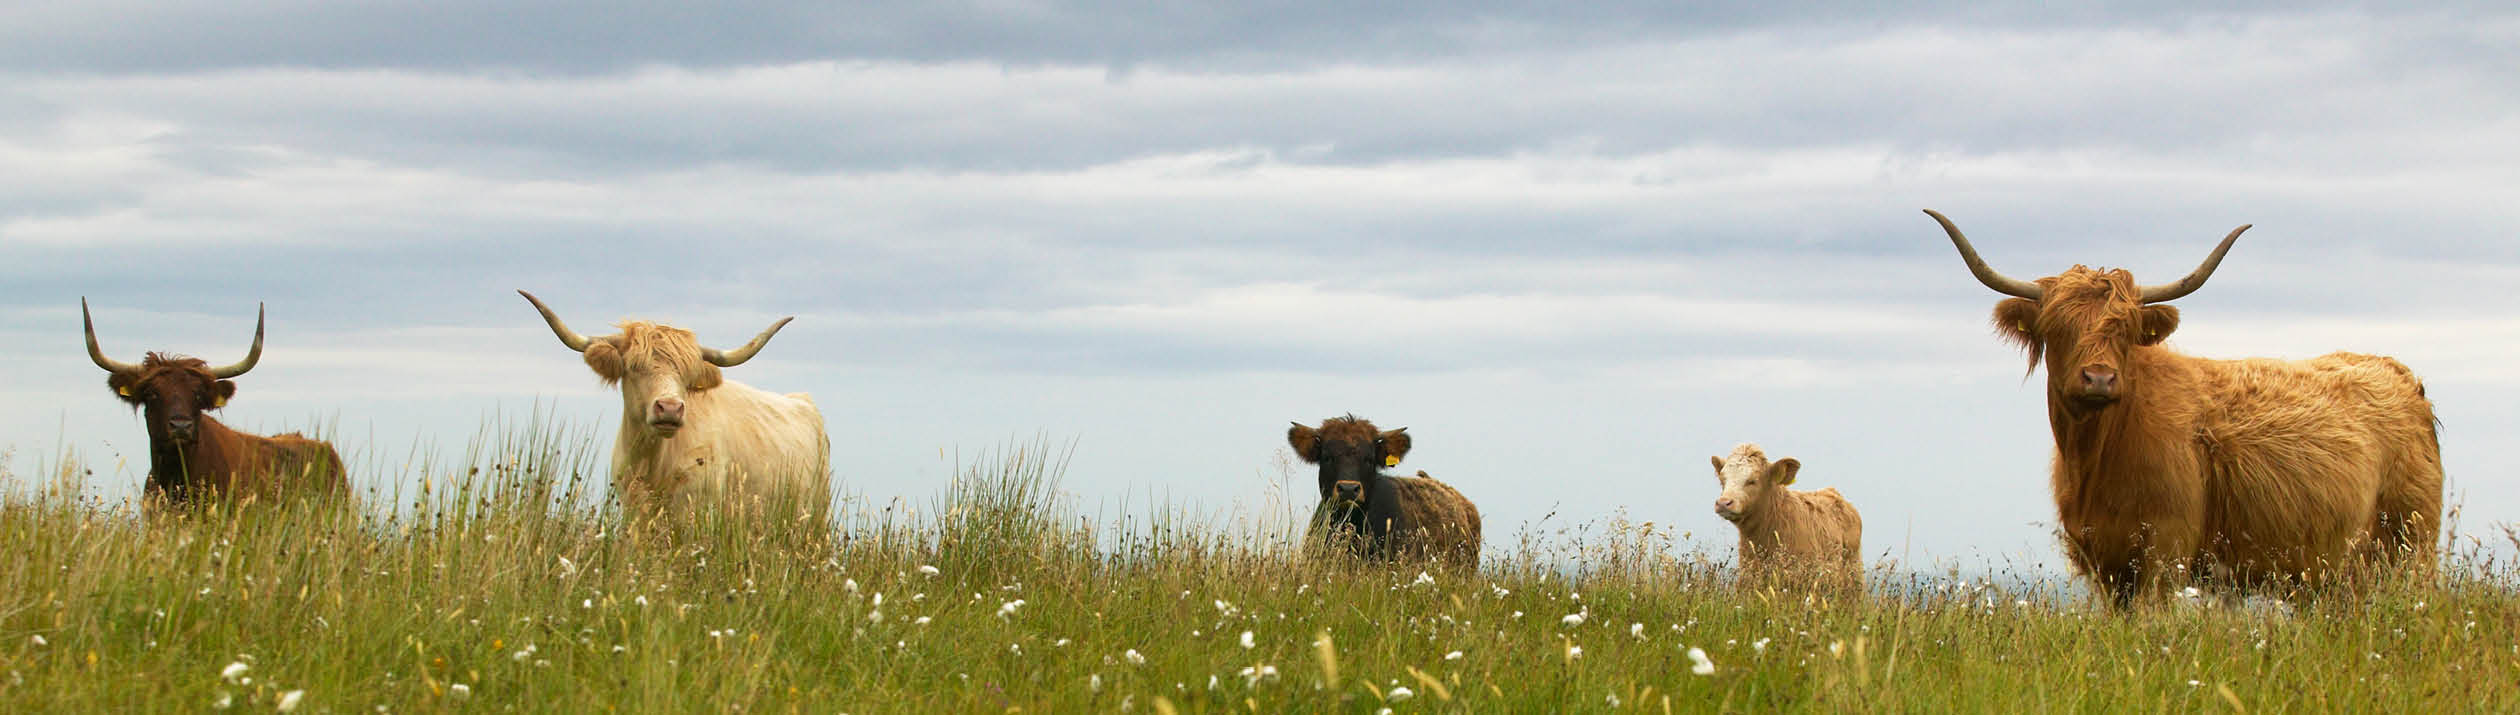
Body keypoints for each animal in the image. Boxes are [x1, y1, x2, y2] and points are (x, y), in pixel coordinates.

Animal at [1927, 209, 2443, 608]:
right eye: (2057, 327)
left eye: (2125, 329)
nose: (2099, 378)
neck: (2097, 453)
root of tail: (2403, 376)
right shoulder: (2104, 562)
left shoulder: (2165, 550)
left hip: (2409, 543)